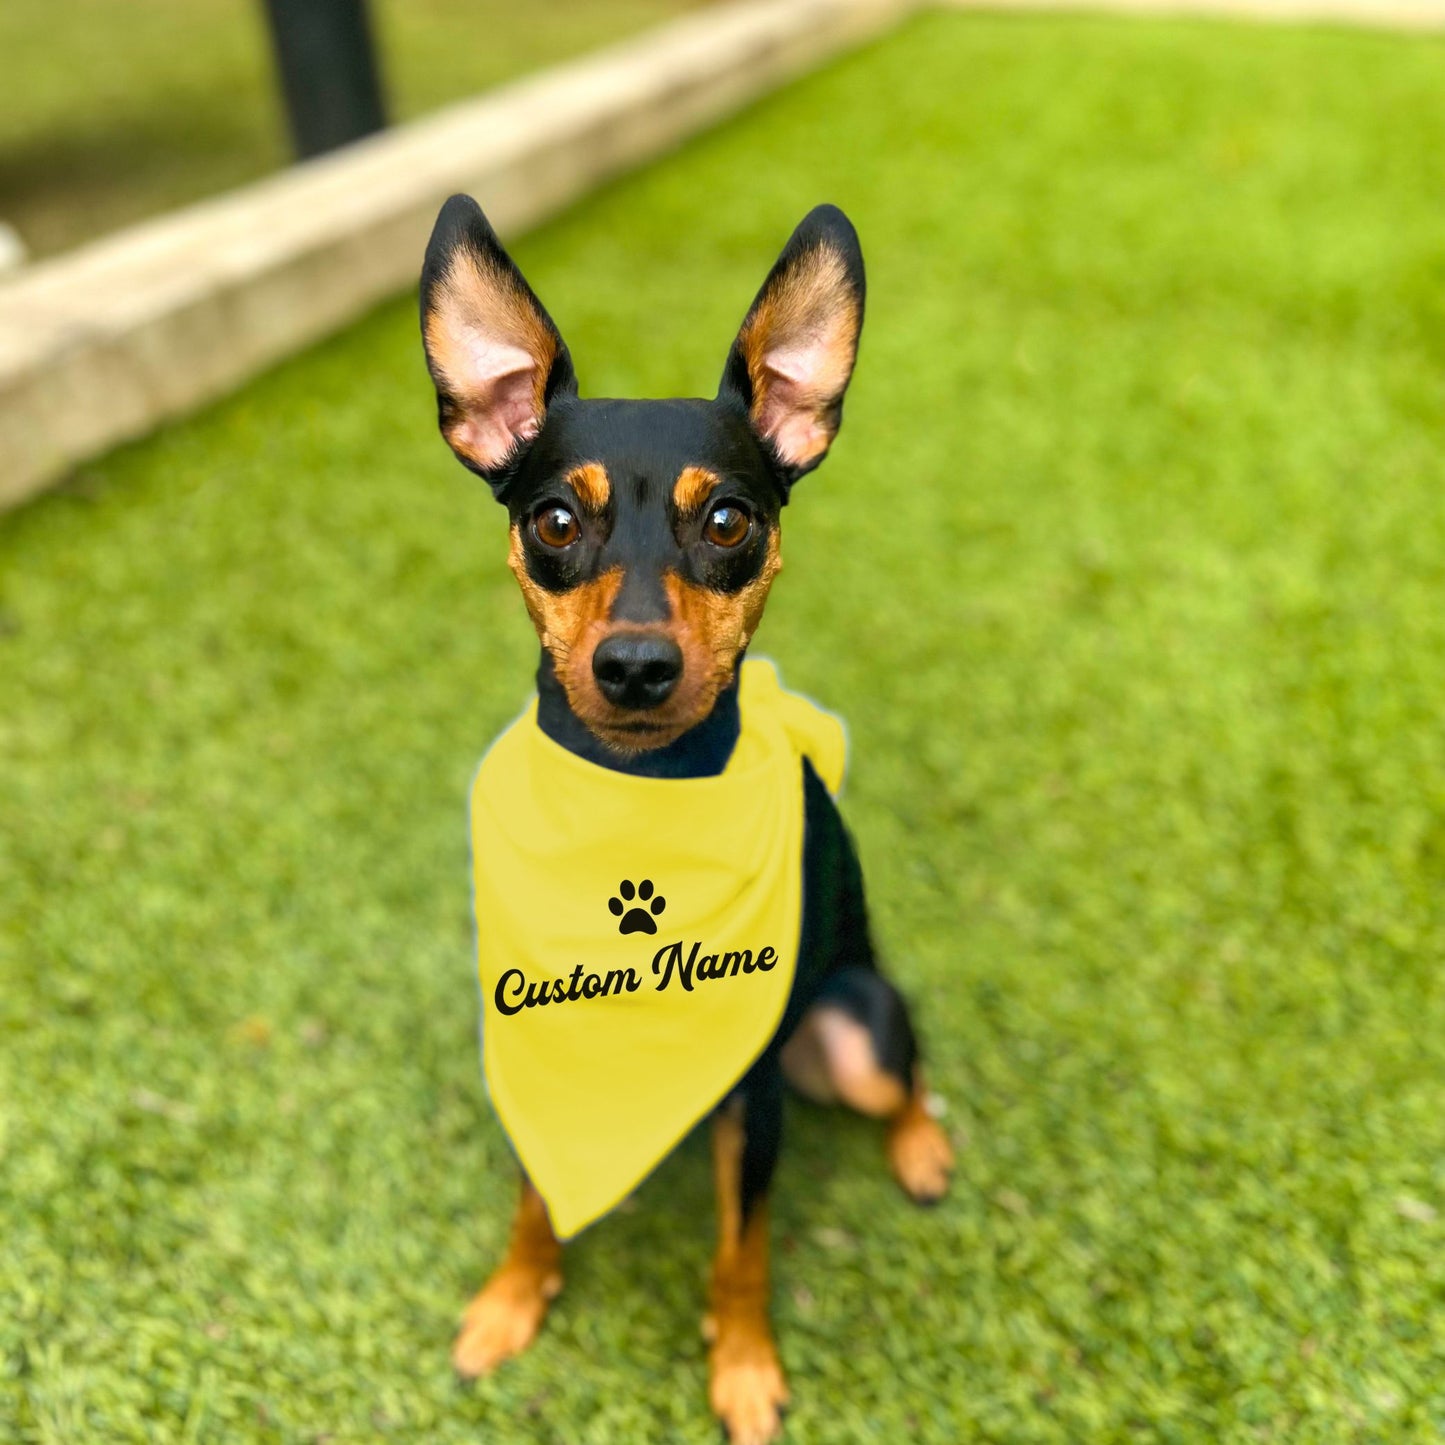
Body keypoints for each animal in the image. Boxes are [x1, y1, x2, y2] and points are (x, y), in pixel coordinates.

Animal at [421, 195, 959, 1445]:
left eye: (726, 519)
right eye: (551, 518)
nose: (632, 665)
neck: (638, 798)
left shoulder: (750, 1103)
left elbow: (740, 1250)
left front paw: (744, 1365)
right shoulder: (530, 1043)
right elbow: (532, 1196)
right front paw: (510, 1299)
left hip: (855, 1027)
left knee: (905, 1070)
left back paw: (922, 1145)